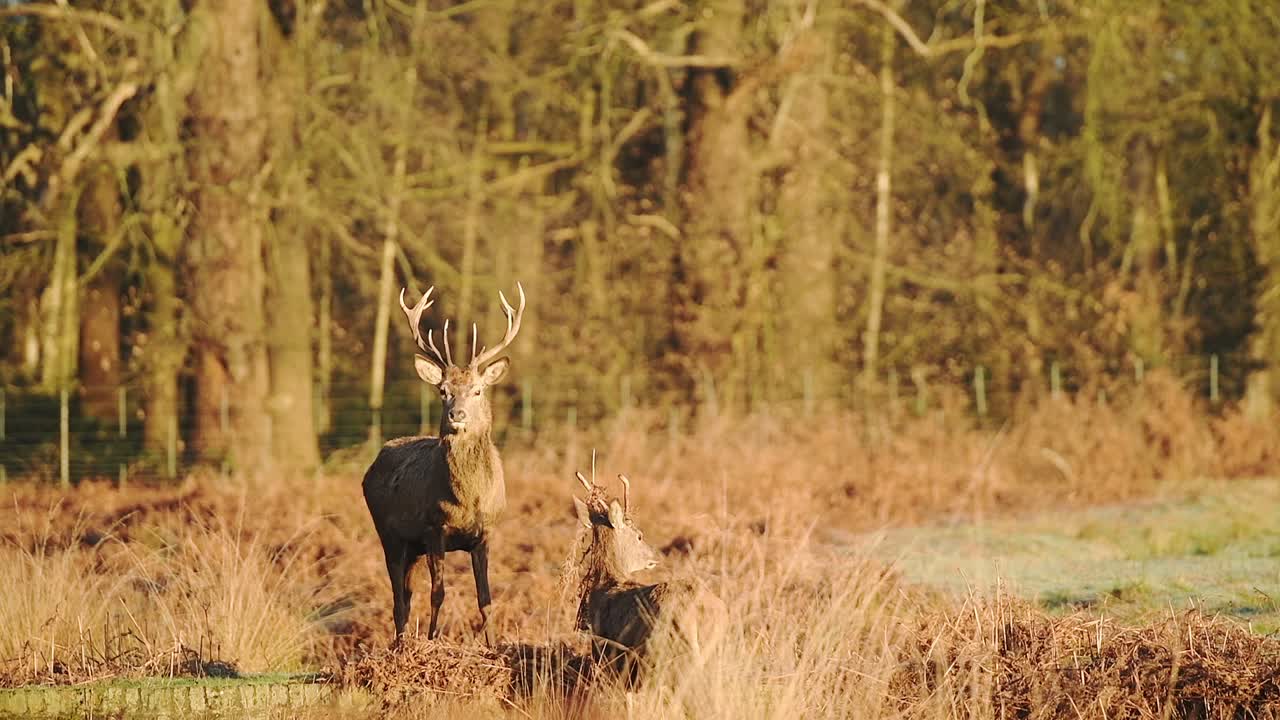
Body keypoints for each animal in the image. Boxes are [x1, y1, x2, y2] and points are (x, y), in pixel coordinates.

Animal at [362, 282, 525, 646]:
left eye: (478, 390)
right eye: (442, 390)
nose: (457, 414)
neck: (468, 501)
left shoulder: (485, 533)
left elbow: (485, 598)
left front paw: (493, 646)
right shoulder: (434, 528)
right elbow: (438, 593)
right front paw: (433, 640)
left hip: (411, 548)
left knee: (406, 595)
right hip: (389, 536)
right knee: (399, 598)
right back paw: (400, 645)